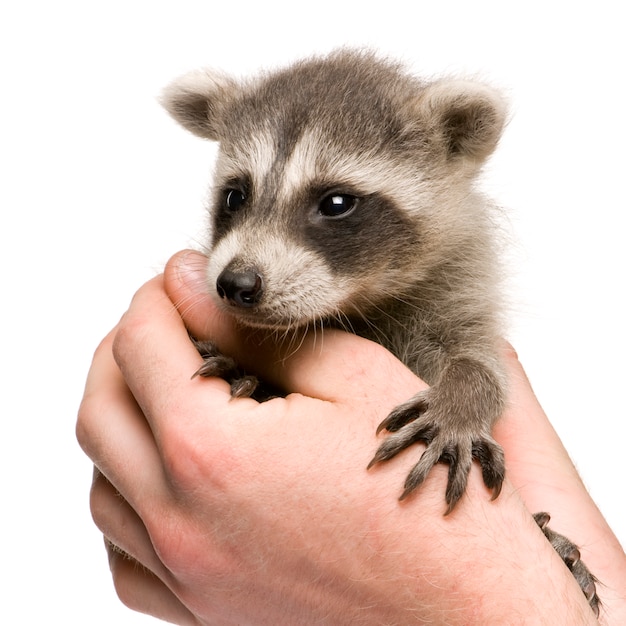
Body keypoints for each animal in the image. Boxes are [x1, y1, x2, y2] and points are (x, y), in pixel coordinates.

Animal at [163, 50, 596, 616]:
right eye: (235, 195)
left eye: (336, 203)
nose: (236, 283)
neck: (355, 303)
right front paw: (248, 372)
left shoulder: (460, 291)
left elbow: (483, 365)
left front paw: (464, 398)